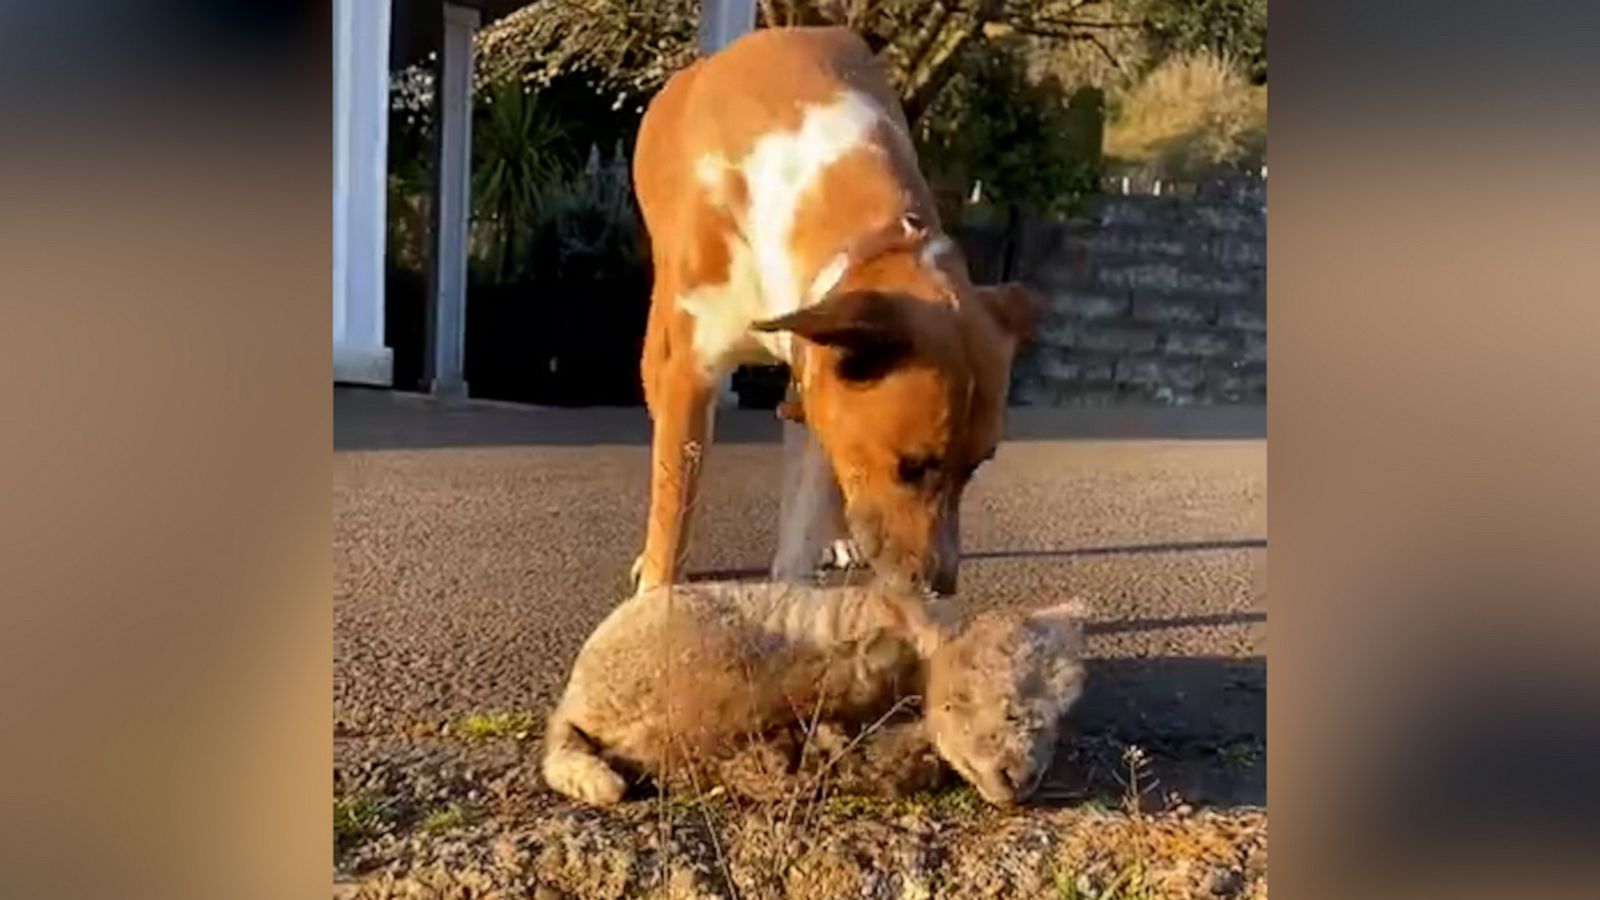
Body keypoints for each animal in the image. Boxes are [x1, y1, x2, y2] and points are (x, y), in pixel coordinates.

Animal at [630, 24, 1043, 592]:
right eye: (911, 466)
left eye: (977, 466)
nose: (939, 584)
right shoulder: (693, 373)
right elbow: (675, 504)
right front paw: (657, 591)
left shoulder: (821, 372)